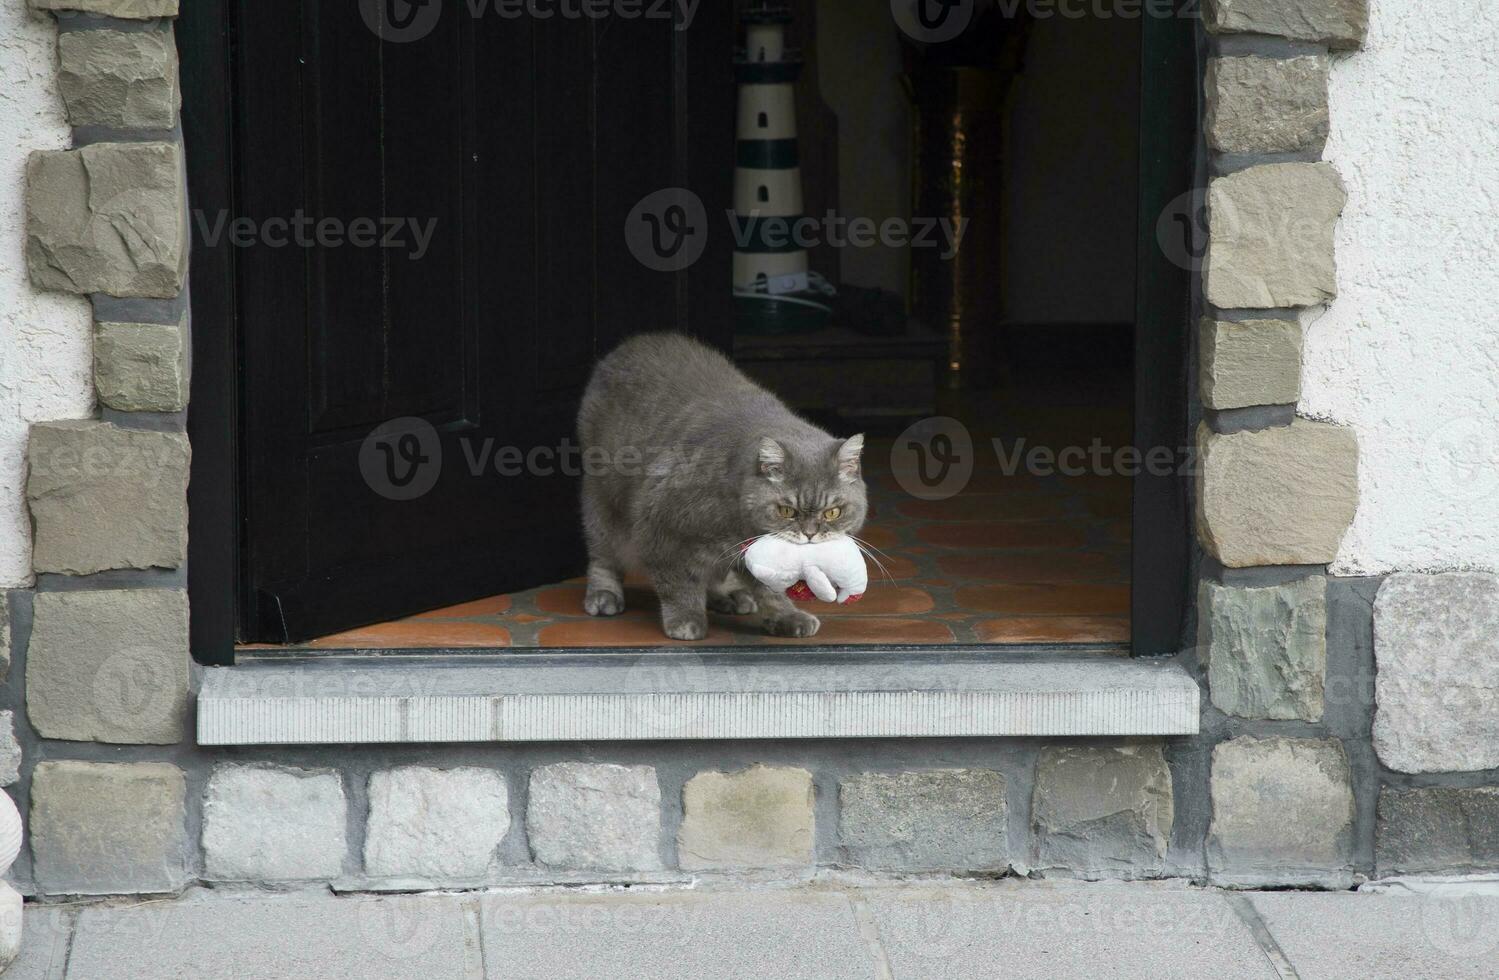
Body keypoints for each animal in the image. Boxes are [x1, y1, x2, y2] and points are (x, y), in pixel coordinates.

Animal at [578, 334, 875, 641]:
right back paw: (604, 595)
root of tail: (636, 342)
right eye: (785, 510)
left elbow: (769, 591)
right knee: (604, 556)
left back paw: (730, 596)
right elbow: (678, 584)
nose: (810, 534)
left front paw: (786, 617)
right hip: (603, 507)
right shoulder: (659, 530)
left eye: (832, 512)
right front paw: (685, 620)